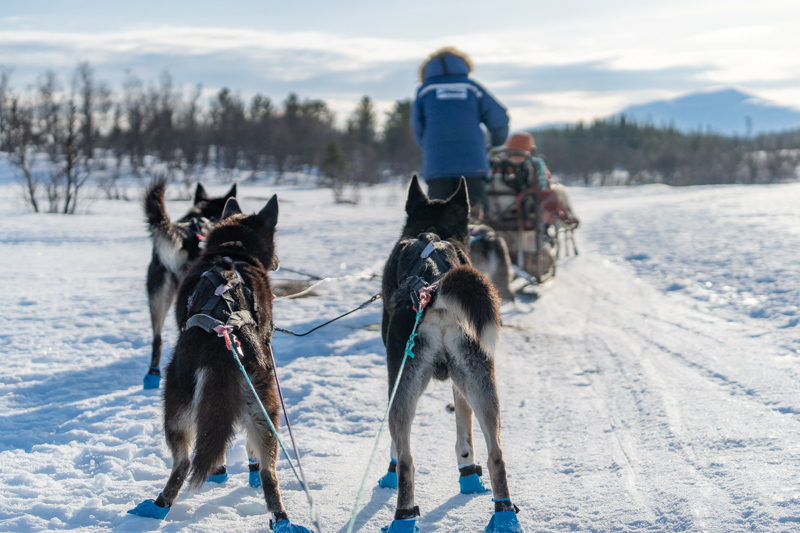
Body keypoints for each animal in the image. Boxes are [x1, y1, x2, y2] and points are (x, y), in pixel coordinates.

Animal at [378, 176, 520, 532]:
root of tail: (435, 287)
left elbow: (397, 447)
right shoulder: (461, 385)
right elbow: (465, 434)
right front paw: (468, 475)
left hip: (404, 385)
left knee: (407, 459)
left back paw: (403, 516)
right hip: (482, 384)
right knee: (496, 454)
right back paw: (504, 513)